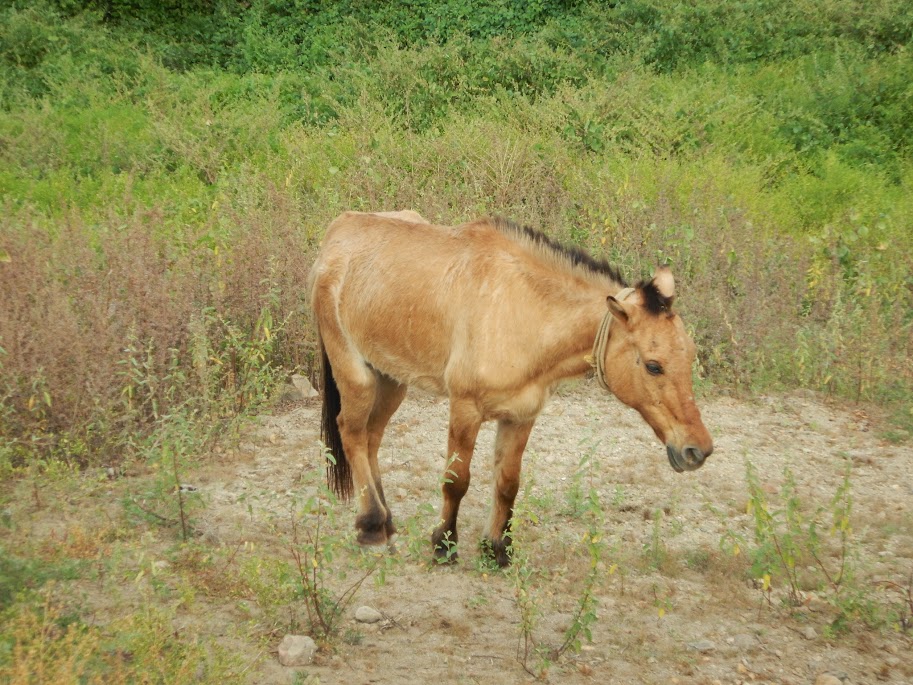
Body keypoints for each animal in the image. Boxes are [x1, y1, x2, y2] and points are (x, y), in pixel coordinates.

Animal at [310, 211, 716, 564]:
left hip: (392, 379)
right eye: (653, 365)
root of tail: (337, 232)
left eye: (690, 354)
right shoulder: (465, 410)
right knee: (351, 432)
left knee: (371, 438)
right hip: (357, 375)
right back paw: (372, 528)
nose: (698, 450)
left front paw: (498, 550)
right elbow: (456, 481)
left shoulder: (522, 416)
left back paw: (387, 522)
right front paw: (444, 545)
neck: (524, 311)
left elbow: (507, 483)